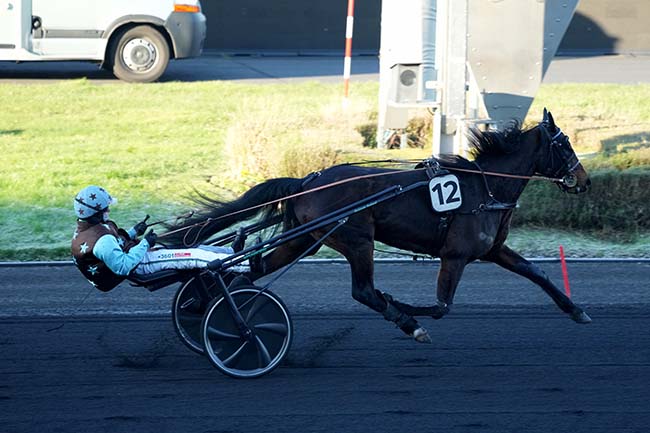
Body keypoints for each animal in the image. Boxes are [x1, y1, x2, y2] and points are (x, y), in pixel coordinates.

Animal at [165, 109, 588, 342]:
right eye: (565, 145)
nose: (583, 179)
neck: (485, 187)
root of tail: (307, 181)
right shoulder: (455, 255)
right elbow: (441, 307)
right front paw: (404, 309)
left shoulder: (494, 250)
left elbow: (536, 273)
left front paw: (576, 310)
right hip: (356, 239)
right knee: (363, 291)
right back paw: (405, 321)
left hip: (305, 239)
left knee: (249, 272)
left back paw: (210, 307)